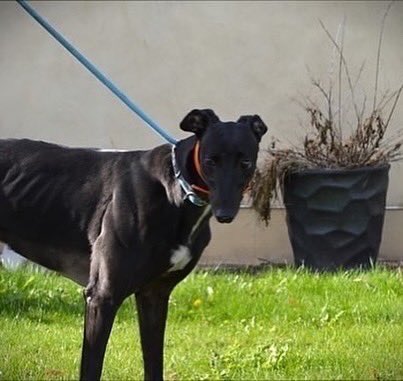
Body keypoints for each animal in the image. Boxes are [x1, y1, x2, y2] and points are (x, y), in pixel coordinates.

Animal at [0, 108, 268, 378]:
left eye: (245, 162)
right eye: (211, 161)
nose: (225, 213)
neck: (175, 189)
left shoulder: (154, 294)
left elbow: (154, 364)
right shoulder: (102, 296)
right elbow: (92, 368)